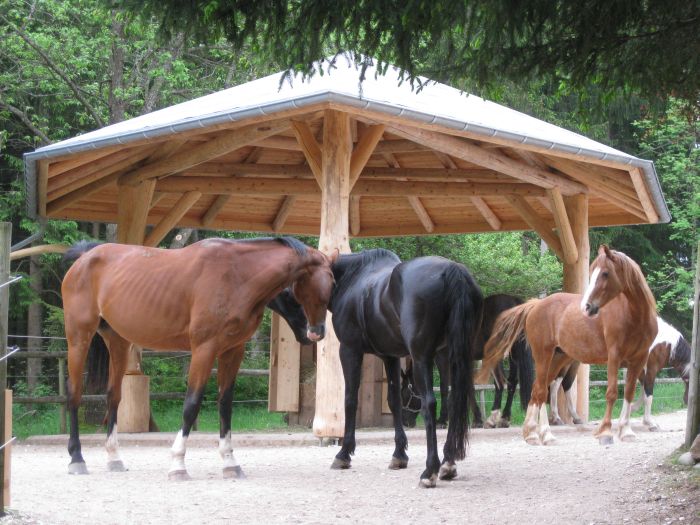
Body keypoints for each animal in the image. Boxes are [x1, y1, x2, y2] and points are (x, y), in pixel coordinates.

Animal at [61, 237, 334, 478]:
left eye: (332, 287)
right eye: (291, 294)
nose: (314, 333)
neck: (236, 275)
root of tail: (85, 257)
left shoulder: (232, 351)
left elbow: (225, 404)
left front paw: (230, 463)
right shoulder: (205, 349)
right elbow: (191, 404)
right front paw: (178, 464)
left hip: (118, 341)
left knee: (113, 397)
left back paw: (114, 458)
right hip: (79, 337)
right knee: (74, 394)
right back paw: (76, 458)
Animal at [402, 292, 532, 428]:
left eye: (404, 392)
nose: (406, 422)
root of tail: (515, 302)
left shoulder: (443, 359)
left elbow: (444, 388)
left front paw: (442, 420)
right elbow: (469, 387)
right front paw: (476, 419)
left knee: (501, 383)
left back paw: (494, 419)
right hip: (511, 355)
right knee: (510, 383)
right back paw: (504, 418)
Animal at [476, 246, 656, 446]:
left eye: (605, 273)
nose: (587, 307)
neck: (633, 317)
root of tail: (535, 305)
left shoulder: (638, 360)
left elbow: (629, 393)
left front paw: (626, 431)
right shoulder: (614, 358)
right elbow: (612, 393)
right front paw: (605, 432)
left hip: (558, 359)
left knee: (539, 390)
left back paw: (537, 433)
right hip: (544, 356)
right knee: (540, 391)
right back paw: (539, 434)